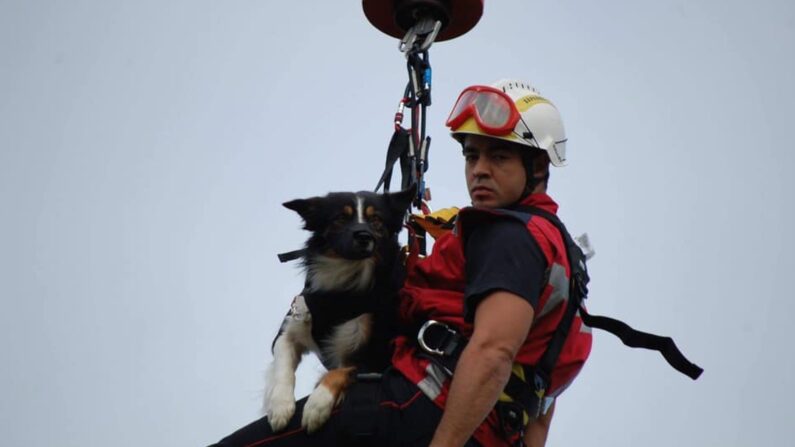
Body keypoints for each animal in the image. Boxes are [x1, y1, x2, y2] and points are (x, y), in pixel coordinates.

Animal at [268, 188, 414, 434]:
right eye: (341, 218)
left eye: (376, 220)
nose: (364, 236)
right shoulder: (292, 325)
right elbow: (282, 365)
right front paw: (279, 406)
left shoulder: (376, 359)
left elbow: (341, 371)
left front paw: (317, 403)